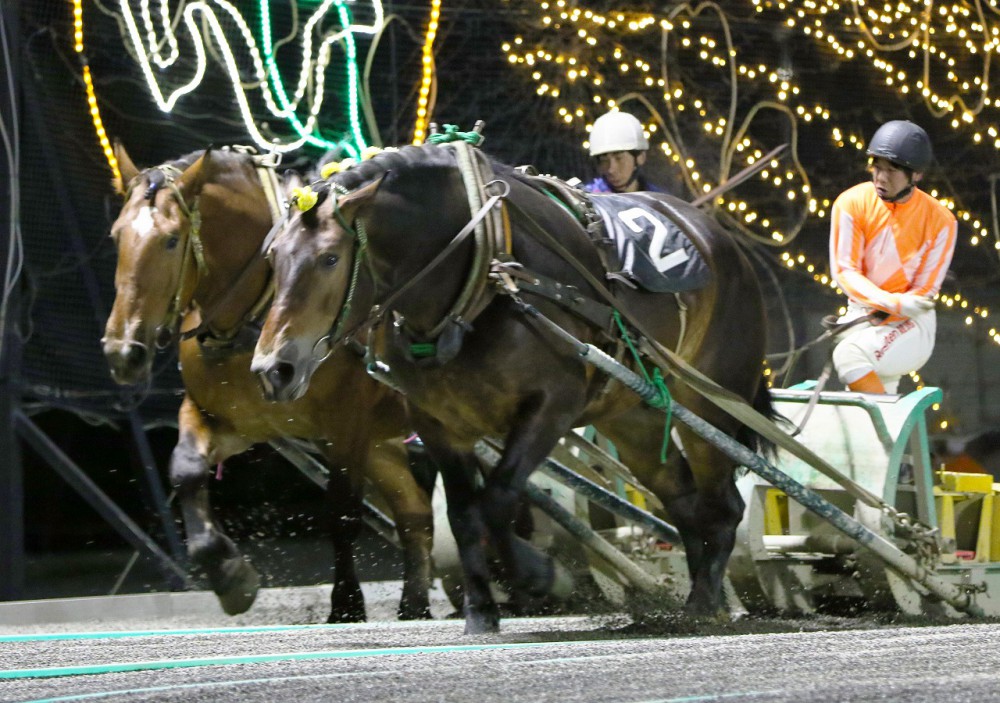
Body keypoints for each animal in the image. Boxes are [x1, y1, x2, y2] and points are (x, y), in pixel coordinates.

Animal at [102, 143, 438, 620]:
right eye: (116, 236)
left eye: (170, 240)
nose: (122, 351)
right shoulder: (233, 421)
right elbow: (185, 468)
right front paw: (228, 574)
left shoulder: (347, 427)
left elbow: (342, 513)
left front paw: (346, 606)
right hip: (383, 444)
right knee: (415, 513)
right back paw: (415, 605)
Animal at [250, 143, 772, 632]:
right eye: (273, 256)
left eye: (330, 258)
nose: (273, 368)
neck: (480, 278)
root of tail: (722, 241)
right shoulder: (438, 423)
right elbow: (465, 516)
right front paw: (481, 610)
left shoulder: (552, 407)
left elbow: (498, 501)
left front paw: (539, 574)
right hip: (632, 416)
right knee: (685, 504)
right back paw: (699, 599)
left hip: (709, 402)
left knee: (722, 508)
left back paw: (704, 602)